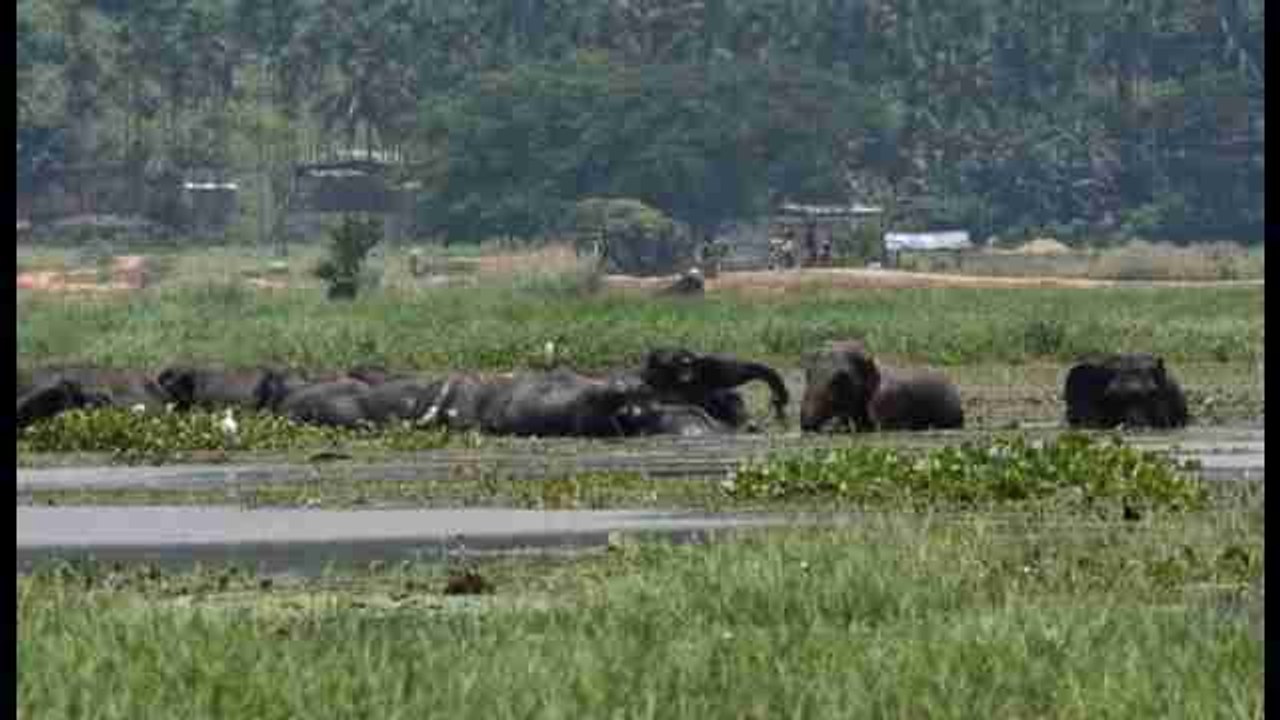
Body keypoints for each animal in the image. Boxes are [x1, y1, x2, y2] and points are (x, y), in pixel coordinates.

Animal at [639, 347, 789, 426]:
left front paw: (774, 381)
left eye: (688, 365)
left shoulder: (707, 366)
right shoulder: (654, 375)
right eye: (681, 366)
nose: (686, 373)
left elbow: (737, 372)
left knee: (726, 396)